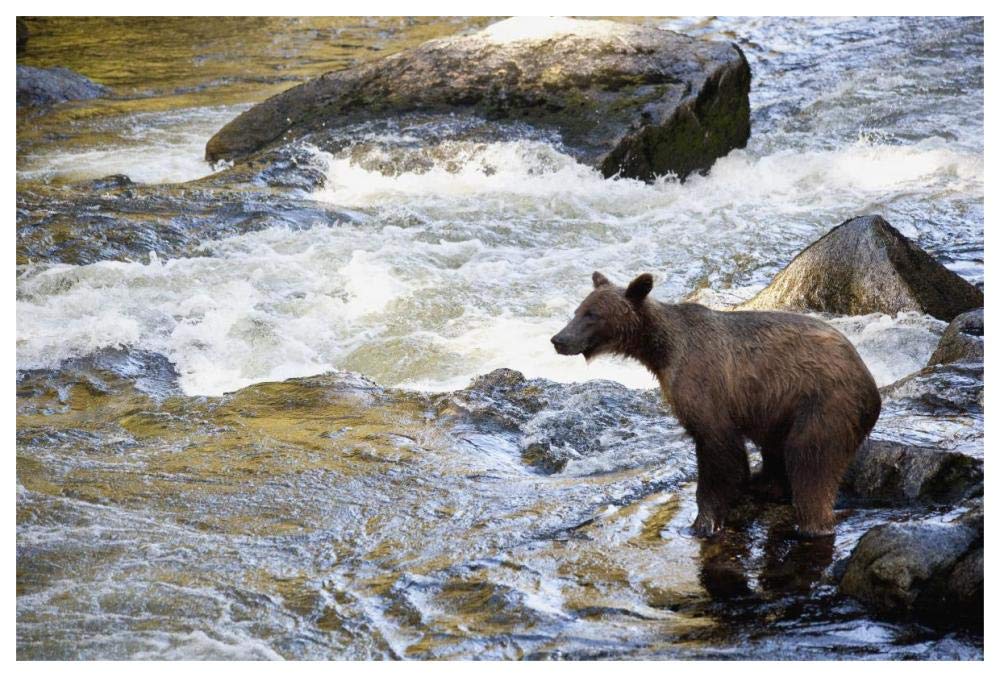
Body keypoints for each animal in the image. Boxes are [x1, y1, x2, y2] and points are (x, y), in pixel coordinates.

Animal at [551, 271, 881, 538]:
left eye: (592, 314)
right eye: (578, 310)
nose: (558, 339)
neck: (661, 352)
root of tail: (871, 384)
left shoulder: (705, 386)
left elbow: (719, 453)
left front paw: (703, 521)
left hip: (824, 402)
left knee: (811, 463)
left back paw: (812, 524)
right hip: (782, 408)